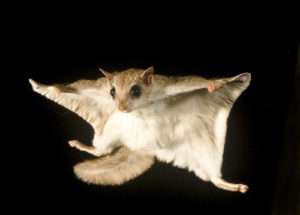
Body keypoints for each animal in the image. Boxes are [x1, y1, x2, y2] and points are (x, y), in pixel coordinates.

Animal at [29, 67, 251, 193]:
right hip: (109, 133)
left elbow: (199, 82)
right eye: (112, 91)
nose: (120, 108)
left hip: (203, 147)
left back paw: (231, 185)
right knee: (99, 151)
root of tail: (142, 148)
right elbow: (75, 87)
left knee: (213, 178)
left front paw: (215, 84)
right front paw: (54, 89)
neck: (141, 109)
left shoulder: (173, 85)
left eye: (136, 90)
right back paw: (79, 144)